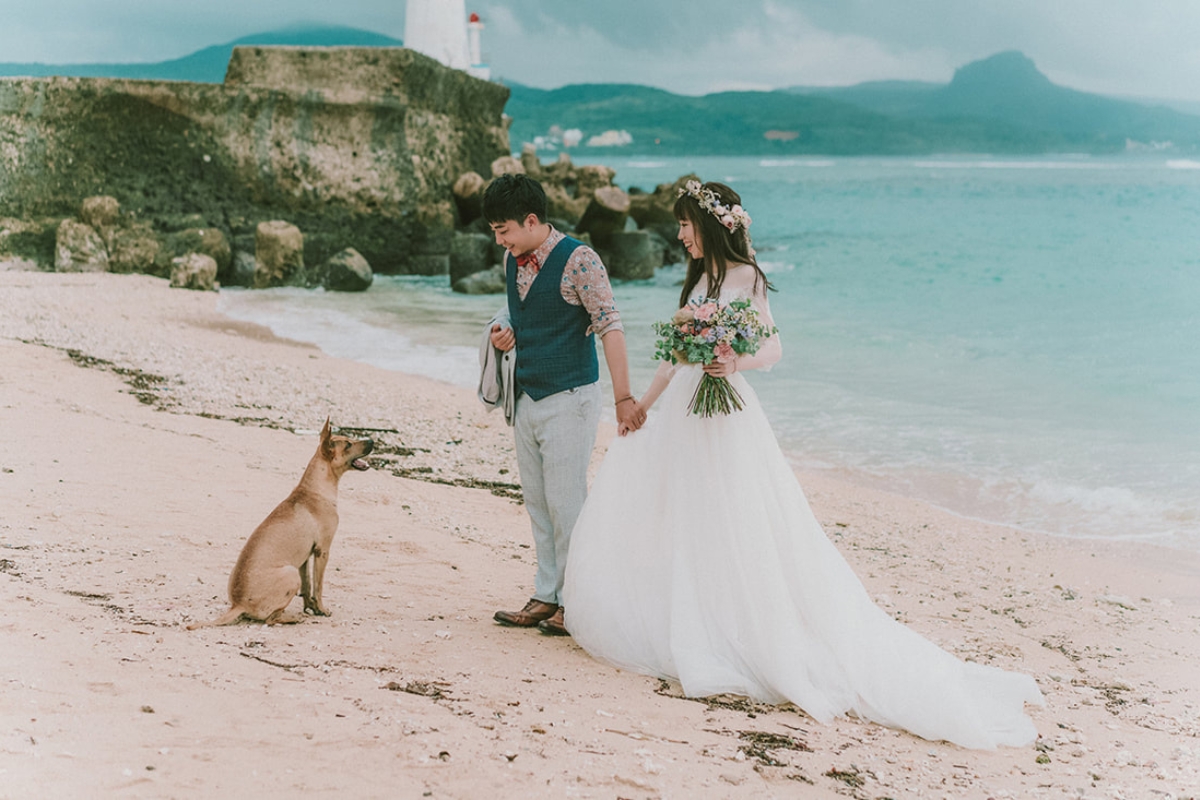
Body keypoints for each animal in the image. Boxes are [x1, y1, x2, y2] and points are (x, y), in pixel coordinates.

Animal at [187, 419, 372, 633]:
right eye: (348, 444)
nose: (372, 441)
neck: (314, 489)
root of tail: (238, 605)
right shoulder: (322, 551)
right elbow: (318, 586)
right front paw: (321, 609)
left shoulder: (304, 559)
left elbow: (308, 587)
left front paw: (310, 607)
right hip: (290, 574)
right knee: (270, 619)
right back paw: (292, 619)